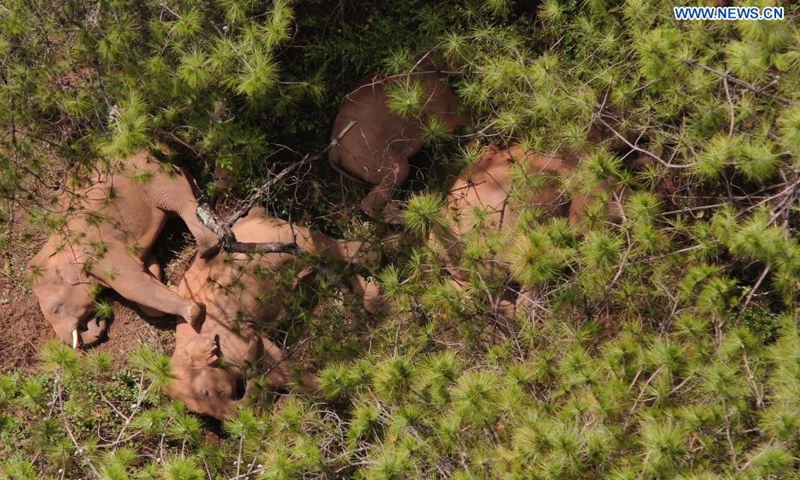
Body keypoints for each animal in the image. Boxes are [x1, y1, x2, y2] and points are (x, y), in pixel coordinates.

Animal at [28, 150, 220, 348]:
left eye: (56, 309)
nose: (100, 318)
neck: (54, 248)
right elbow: (147, 268)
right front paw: (172, 288)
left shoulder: (99, 252)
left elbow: (132, 284)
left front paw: (193, 313)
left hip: (153, 177)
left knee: (179, 201)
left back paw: (207, 250)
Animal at [168, 207, 381, 419]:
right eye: (200, 414)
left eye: (206, 392)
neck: (182, 343)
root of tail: (257, 213)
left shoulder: (231, 336)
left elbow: (271, 357)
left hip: (284, 235)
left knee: (329, 250)